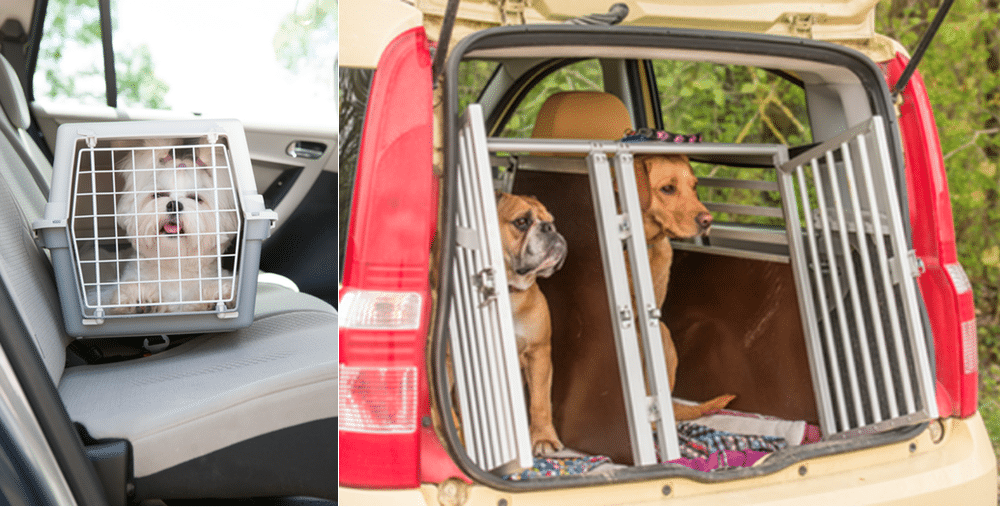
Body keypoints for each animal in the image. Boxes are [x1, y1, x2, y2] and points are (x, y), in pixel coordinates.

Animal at [103, 138, 240, 314]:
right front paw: (139, 298)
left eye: (196, 198)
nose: (174, 205)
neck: (175, 267)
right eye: (159, 194)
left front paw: (217, 295)